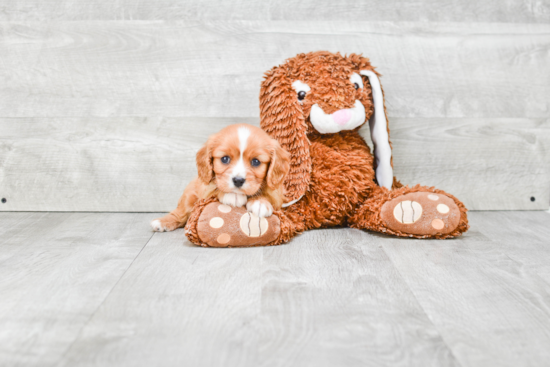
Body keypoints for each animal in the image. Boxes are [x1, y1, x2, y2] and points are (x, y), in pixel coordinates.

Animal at [149, 123, 292, 233]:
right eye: (224, 159)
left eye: (256, 162)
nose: (238, 181)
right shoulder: (205, 189)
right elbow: (215, 189)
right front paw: (232, 196)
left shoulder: (277, 195)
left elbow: (268, 195)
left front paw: (260, 202)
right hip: (189, 195)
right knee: (181, 213)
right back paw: (162, 222)